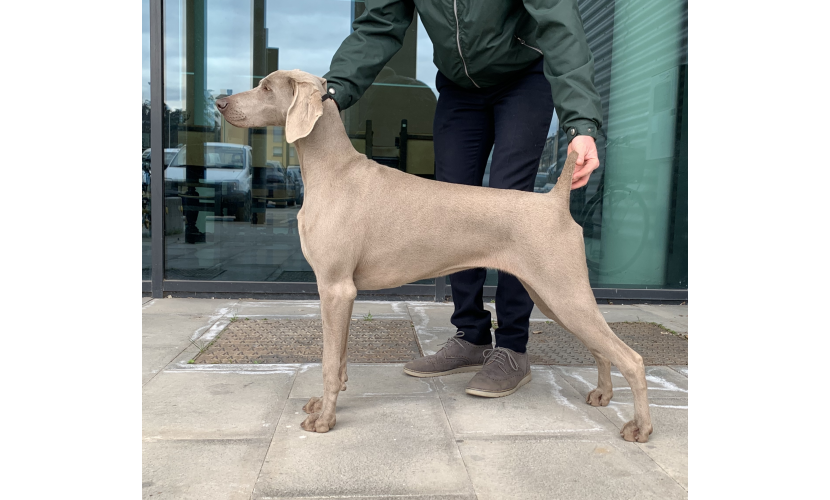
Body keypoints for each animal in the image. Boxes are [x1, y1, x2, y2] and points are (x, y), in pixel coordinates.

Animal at [216, 69, 656, 442]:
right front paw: (324, 403)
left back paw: (640, 427)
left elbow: (327, 361)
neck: (332, 171)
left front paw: (325, 419)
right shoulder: (340, 292)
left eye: (267, 88)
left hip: (563, 291)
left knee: (632, 357)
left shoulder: (336, 287)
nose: (220, 102)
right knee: (601, 348)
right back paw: (602, 395)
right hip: (553, 296)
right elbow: (337, 359)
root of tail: (556, 201)